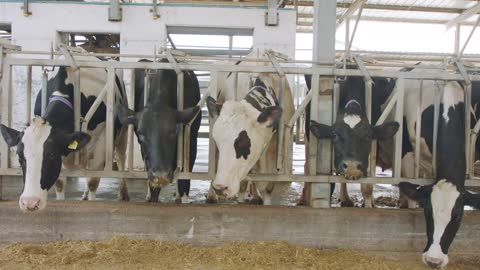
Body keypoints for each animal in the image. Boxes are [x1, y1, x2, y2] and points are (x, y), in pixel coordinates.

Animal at [0, 52, 128, 212]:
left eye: (51, 155)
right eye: (20, 157)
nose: (30, 202)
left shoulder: (101, 143)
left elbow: (93, 180)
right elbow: (60, 184)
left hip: (122, 133)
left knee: (121, 157)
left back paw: (123, 194)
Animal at [117, 58, 202, 202]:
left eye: (173, 132)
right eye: (141, 134)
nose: (161, 174)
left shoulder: (191, 140)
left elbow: (184, 182)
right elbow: (154, 187)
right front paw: (152, 196)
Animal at [205, 49, 294, 205]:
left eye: (244, 143)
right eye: (218, 141)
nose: (220, 188)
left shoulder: (278, 149)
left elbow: (268, 187)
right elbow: (243, 185)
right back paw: (211, 195)